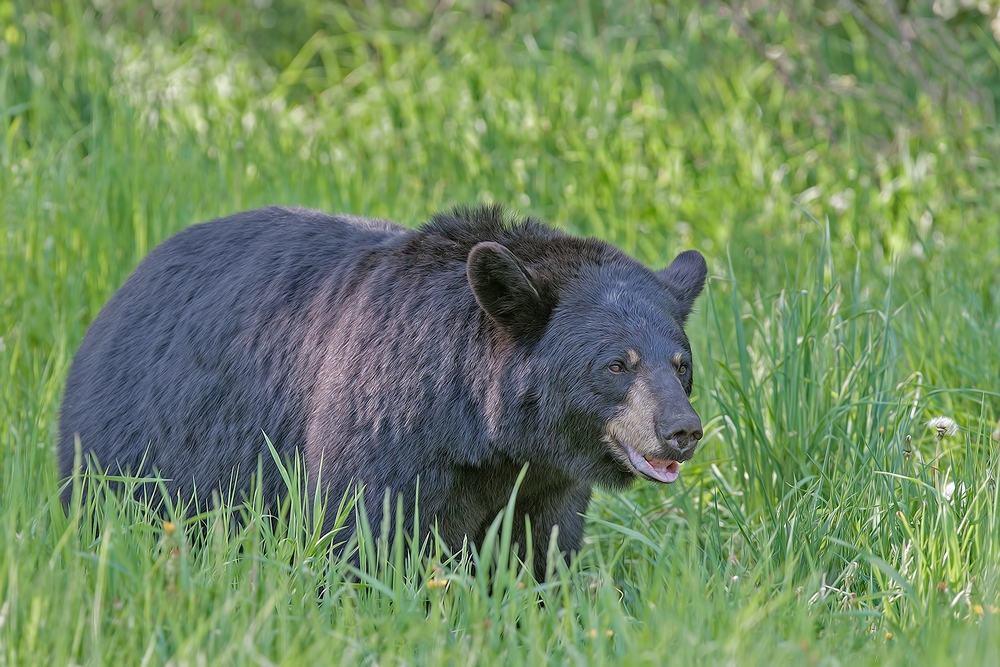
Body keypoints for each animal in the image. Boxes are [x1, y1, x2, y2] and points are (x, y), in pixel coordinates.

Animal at [58, 206, 708, 580]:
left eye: (681, 364)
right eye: (616, 364)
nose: (681, 430)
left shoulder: (542, 483)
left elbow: (538, 552)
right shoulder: (385, 433)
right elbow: (364, 538)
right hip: (135, 450)